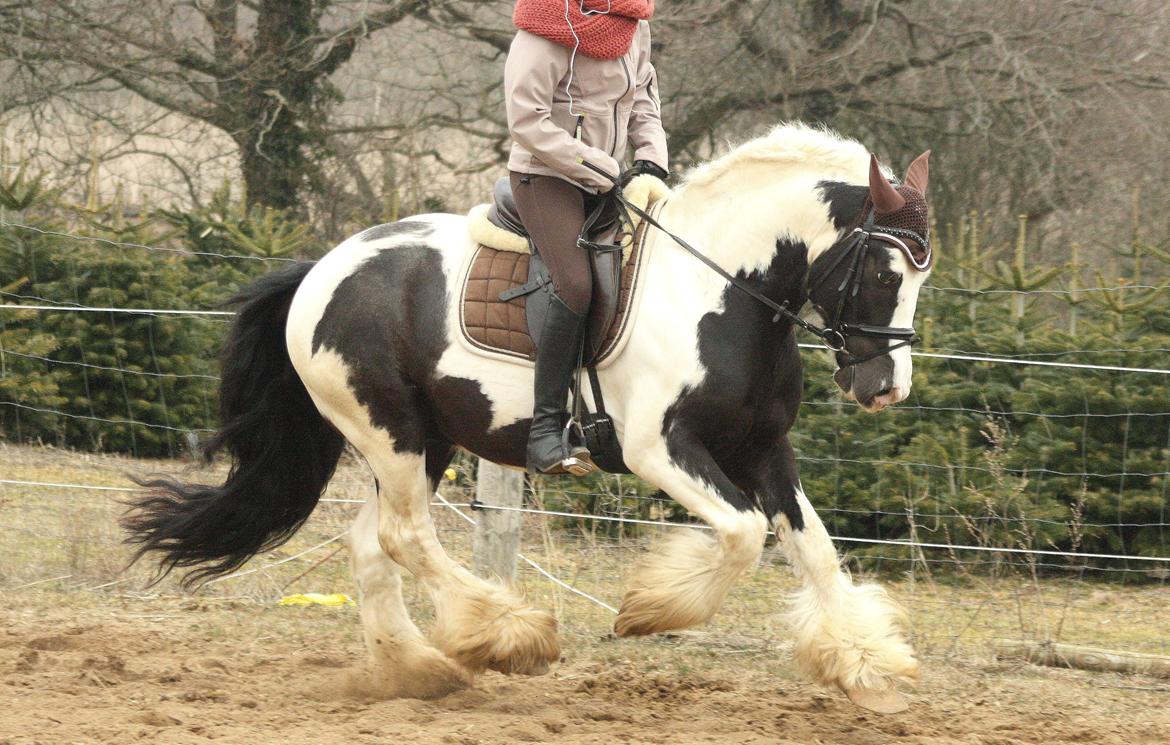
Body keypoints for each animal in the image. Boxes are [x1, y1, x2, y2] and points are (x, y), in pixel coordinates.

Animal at [125, 123, 931, 715]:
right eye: (884, 271)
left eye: (922, 276)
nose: (884, 387)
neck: (721, 292)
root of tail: (319, 269)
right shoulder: (658, 450)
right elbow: (742, 532)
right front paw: (649, 611)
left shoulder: (764, 449)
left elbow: (813, 547)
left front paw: (865, 661)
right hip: (392, 434)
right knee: (403, 535)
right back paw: (511, 636)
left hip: (425, 444)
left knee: (372, 543)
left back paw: (420, 669)